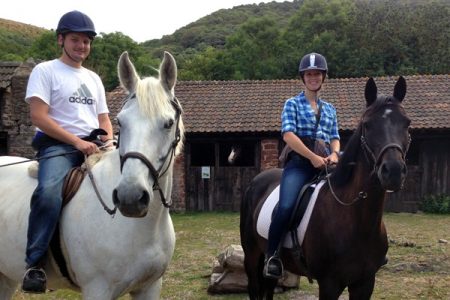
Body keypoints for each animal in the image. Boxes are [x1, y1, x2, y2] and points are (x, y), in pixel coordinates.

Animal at [0, 50, 185, 298]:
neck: (143, 227)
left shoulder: (149, 286)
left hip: (6, 277)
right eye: (120, 122)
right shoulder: (98, 289)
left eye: (168, 123)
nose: (130, 197)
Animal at [241, 76, 410, 298]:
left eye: (406, 123)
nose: (393, 171)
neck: (355, 219)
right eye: (367, 125)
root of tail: (256, 181)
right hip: (252, 256)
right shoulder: (329, 283)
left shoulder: (365, 282)